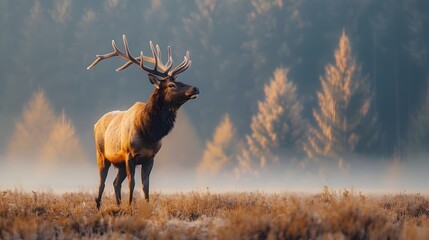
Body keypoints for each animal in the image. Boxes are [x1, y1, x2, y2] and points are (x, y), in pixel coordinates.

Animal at [87, 34, 201, 209]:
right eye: (171, 85)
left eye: (180, 81)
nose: (195, 89)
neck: (148, 132)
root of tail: (95, 122)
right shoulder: (129, 155)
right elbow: (132, 184)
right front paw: (130, 206)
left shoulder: (150, 157)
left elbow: (145, 185)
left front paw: (145, 207)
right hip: (101, 155)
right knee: (102, 183)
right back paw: (99, 206)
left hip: (119, 163)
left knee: (115, 183)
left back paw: (118, 205)